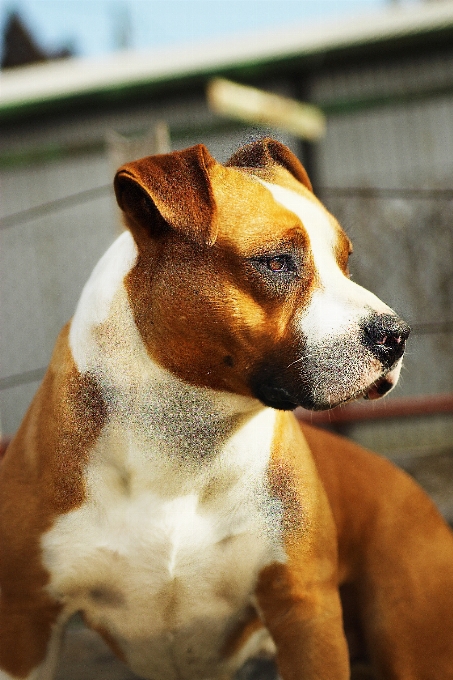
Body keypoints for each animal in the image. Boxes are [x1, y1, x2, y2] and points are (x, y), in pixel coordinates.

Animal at [0, 139, 450, 680]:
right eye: (276, 262)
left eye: (345, 261)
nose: (396, 336)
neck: (183, 440)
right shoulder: (25, 625)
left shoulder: (304, 611)